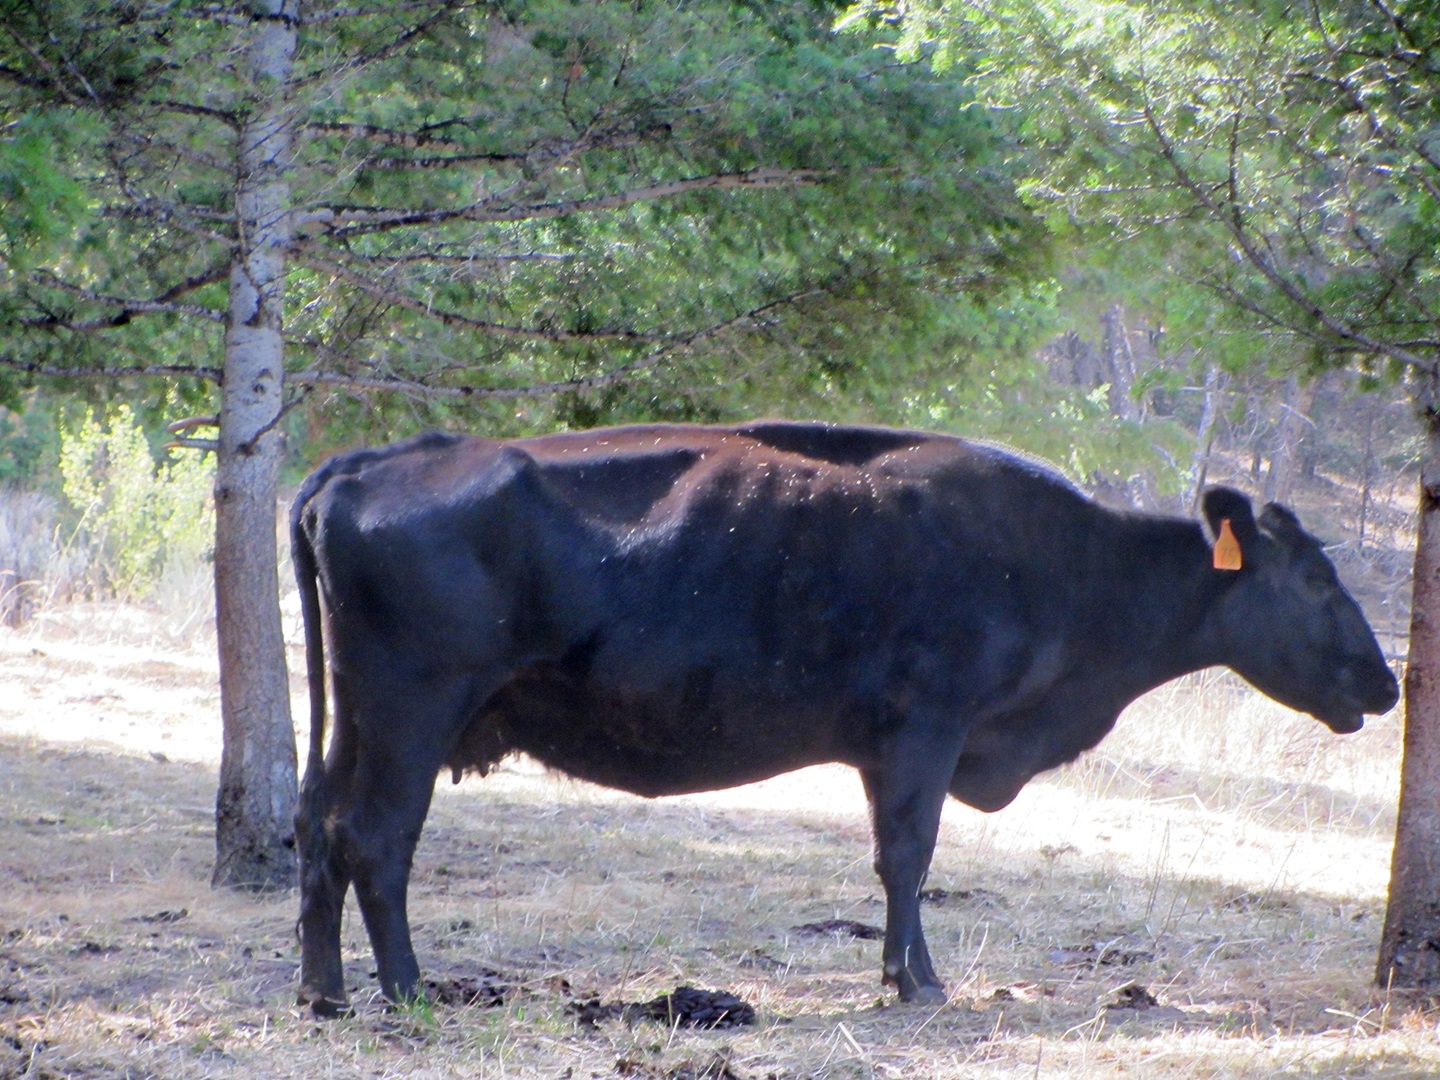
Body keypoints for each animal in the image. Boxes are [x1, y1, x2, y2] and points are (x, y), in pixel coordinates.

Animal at [290, 420, 1398, 1015]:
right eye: (1313, 578)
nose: (1385, 685)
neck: (1069, 564)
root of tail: (368, 464)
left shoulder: (886, 748)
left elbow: (893, 857)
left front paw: (902, 973)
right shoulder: (927, 729)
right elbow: (908, 856)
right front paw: (918, 983)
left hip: (354, 722)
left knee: (316, 829)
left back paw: (324, 990)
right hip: (415, 709)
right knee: (374, 838)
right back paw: (405, 988)